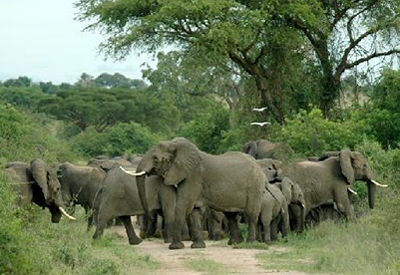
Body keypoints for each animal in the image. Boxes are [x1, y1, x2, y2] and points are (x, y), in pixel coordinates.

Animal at [129, 137, 266, 250]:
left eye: (156, 159)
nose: (152, 217)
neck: (175, 145)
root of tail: (257, 164)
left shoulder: (193, 175)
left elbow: (183, 205)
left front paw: (175, 247)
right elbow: (193, 210)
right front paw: (198, 246)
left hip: (255, 186)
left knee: (251, 214)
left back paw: (249, 243)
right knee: (231, 215)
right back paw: (235, 243)